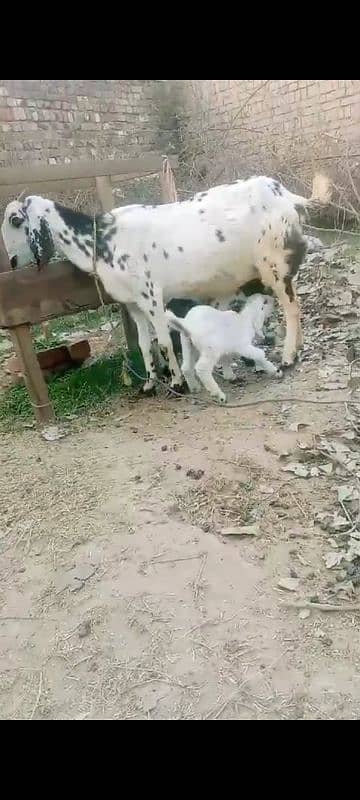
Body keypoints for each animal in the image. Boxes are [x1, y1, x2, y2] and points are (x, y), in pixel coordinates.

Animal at [1, 177, 330, 396]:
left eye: (15, 220)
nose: (13, 261)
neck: (101, 240)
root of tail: (286, 196)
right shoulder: (133, 304)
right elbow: (145, 344)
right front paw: (149, 383)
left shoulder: (152, 296)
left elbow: (163, 342)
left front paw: (177, 383)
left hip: (275, 262)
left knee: (292, 308)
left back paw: (287, 357)